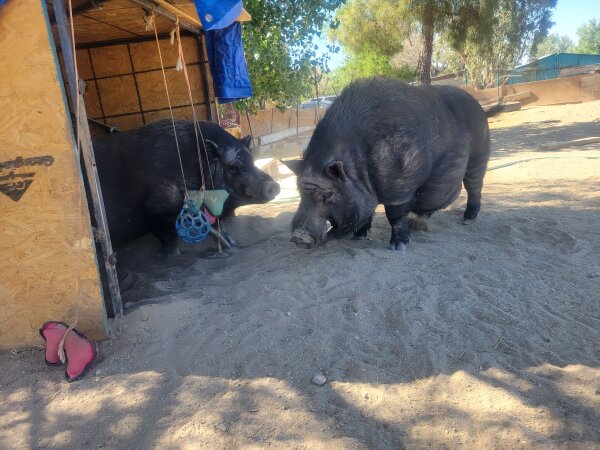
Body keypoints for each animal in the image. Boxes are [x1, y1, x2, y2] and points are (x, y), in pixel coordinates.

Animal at [92, 119, 280, 253]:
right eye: (233, 167)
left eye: (252, 160)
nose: (274, 185)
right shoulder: (157, 212)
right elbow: (168, 239)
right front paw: (170, 256)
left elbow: (218, 227)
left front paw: (234, 244)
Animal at [283, 77, 493, 251]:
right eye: (299, 192)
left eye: (328, 195)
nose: (297, 237)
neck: (359, 166)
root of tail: (477, 104)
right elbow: (366, 213)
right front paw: (358, 238)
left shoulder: (399, 188)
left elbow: (394, 215)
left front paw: (397, 247)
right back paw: (417, 225)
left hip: (480, 154)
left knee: (474, 187)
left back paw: (467, 219)